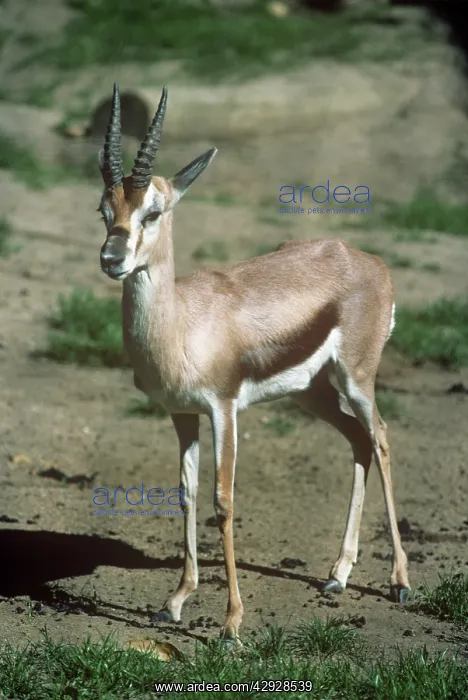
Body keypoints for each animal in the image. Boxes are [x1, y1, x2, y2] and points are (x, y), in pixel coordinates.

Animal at [97, 84, 410, 643]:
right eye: (102, 209)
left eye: (152, 212)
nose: (112, 259)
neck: (183, 323)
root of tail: (368, 260)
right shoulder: (182, 414)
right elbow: (186, 494)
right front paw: (174, 602)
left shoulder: (223, 409)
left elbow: (223, 503)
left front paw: (231, 624)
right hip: (312, 391)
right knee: (358, 440)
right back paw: (337, 575)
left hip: (356, 379)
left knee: (381, 438)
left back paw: (399, 581)